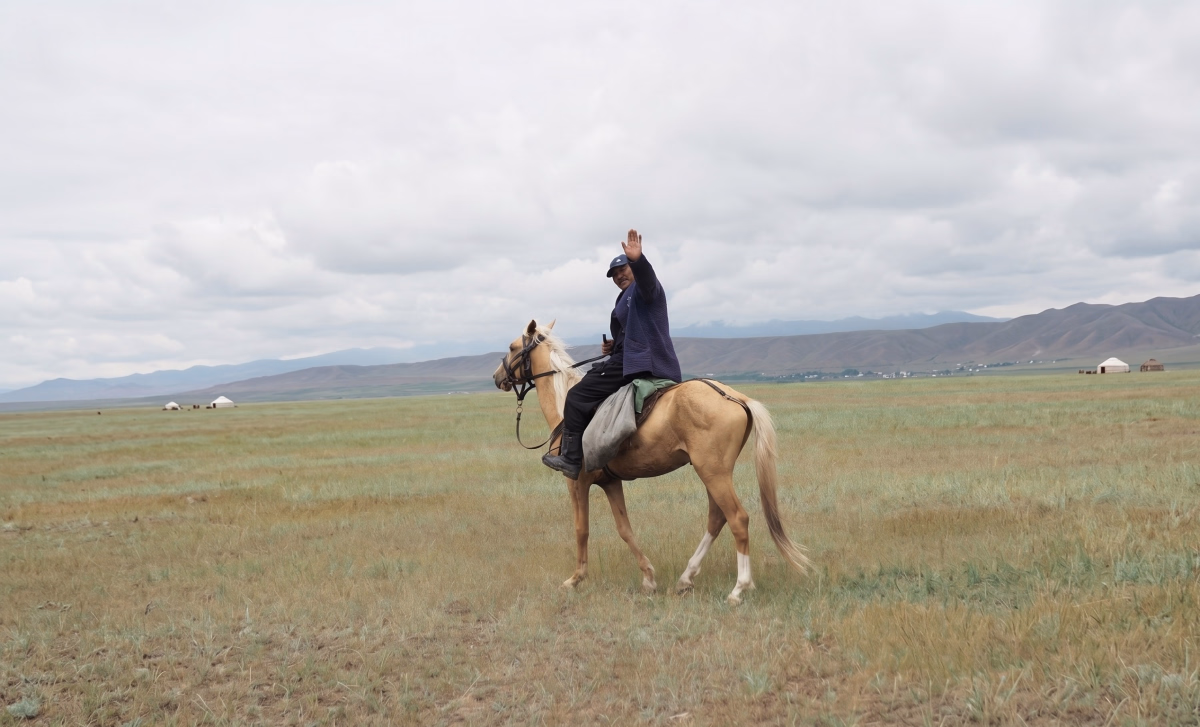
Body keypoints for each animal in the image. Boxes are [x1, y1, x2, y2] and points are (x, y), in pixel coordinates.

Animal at [494, 320, 810, 605]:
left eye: (511, 347)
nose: (498, 377)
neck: (564, 408)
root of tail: (736, 396)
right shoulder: (610, 482)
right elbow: (625, 529)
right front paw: (648, 578)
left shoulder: (577, 481)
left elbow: (581, 529)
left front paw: (574, 580)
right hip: (714, 473)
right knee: (717, 518)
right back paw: (685, 579)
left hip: (713, 472)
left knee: (738, 519)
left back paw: (738, 589)